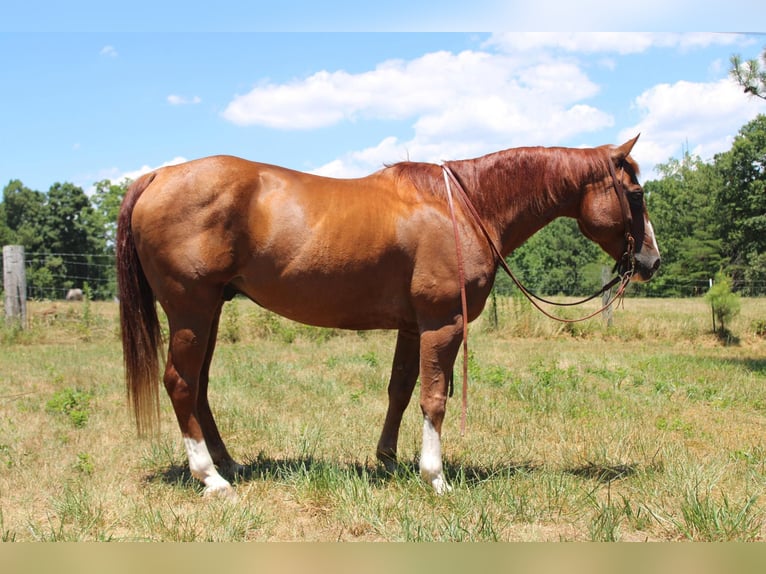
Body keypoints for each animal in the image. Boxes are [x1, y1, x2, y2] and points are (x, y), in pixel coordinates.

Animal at [116, 136, 660, 498]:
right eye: (635, 195)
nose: (651, 261)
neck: (465, 206)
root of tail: (158, 176)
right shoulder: (443, 323)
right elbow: (434, 398)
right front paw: (434, 476)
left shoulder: (413, 326)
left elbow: (400, 390)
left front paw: (387, 461)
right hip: (191, 310)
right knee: (180, 383)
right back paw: (211, 478)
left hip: (209, 312)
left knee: (199, 387)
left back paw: (229, 464)